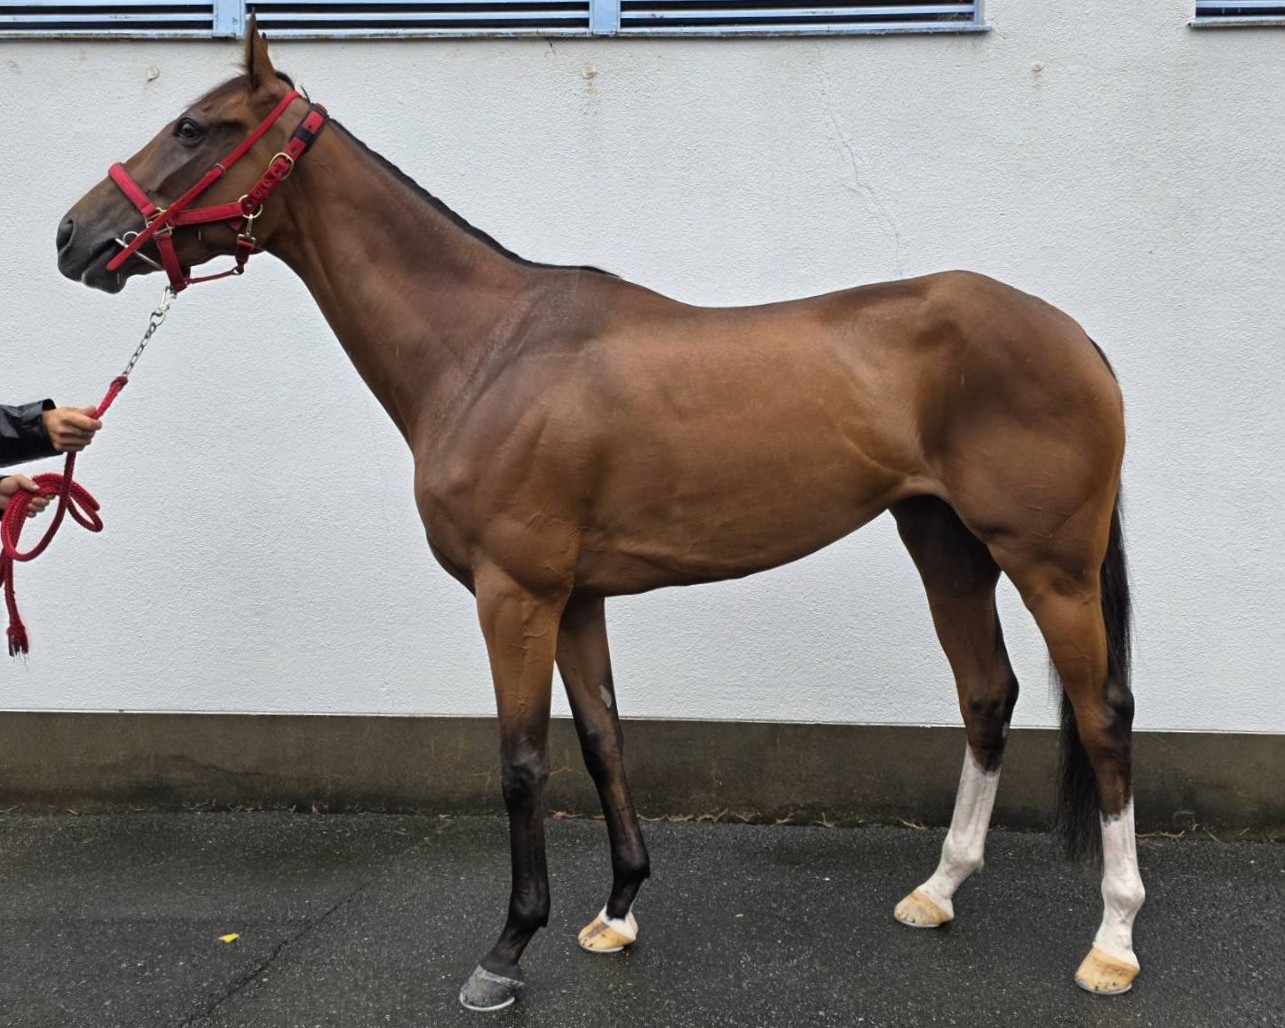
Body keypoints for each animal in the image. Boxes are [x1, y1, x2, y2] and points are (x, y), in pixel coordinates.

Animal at [55, 24, 1144, 1011]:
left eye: (194, 127)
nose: (72, 237)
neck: (487, 348)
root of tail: (1072, 334)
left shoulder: (515, 594)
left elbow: (522, 764)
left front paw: (505, 949)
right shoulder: (576, 599)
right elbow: (601, 738)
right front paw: (616, 911)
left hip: (1048, 565)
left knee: (1102, 714)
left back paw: (1112, 941)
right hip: (944, 544)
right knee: (987, 695)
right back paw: (938, 889)